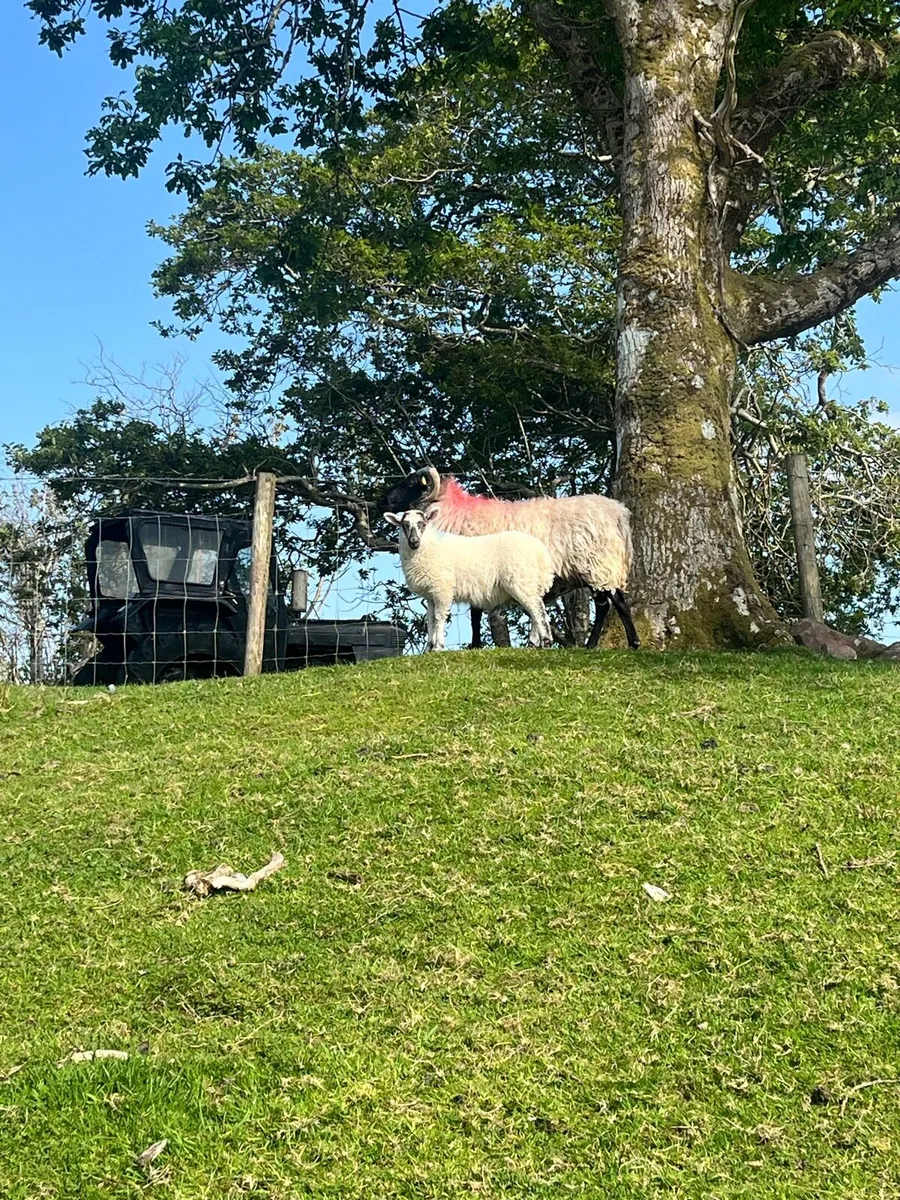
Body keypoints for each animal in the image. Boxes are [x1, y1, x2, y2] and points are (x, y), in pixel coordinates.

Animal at [384, 509, 554, 652]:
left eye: (423, 524)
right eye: (404, 525)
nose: (414, 541)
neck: (428, 546)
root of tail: (541, 553)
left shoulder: (442, 589)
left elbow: (439, 617)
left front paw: (438, 647)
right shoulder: (430, 594)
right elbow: (430, 620)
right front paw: (428, 649)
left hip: (521, 580)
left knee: (537, 610)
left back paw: (546, 642)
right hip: (530, 583)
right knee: (535, 610)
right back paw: (534, 644)